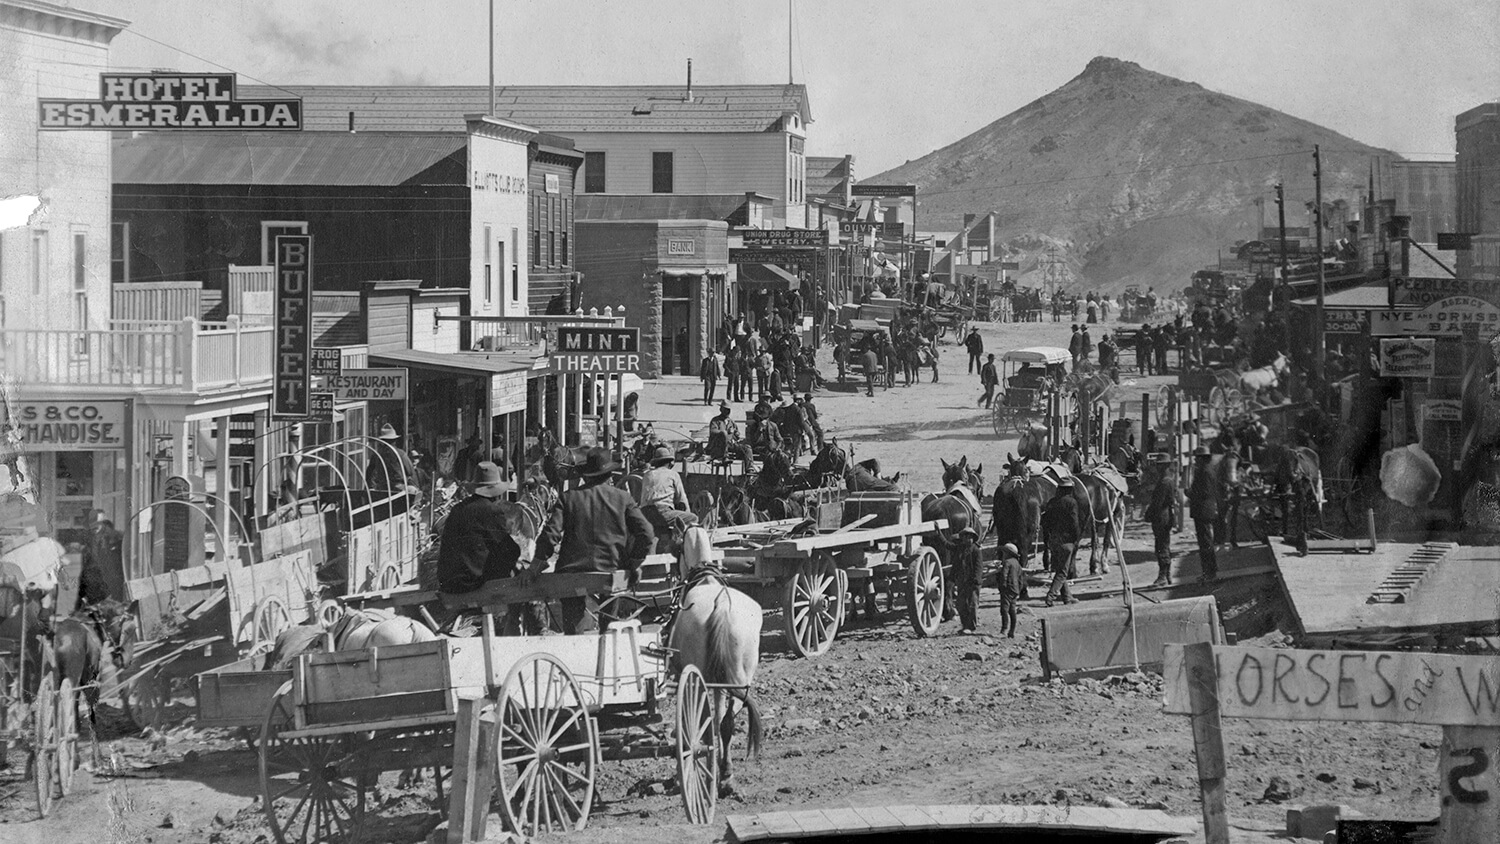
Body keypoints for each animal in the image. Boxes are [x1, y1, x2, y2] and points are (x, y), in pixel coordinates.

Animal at [669, 524, 762, 797]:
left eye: (676, 548)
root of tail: (721, 605)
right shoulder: (721, 683)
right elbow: (720, 715)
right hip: (740, 681)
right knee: (726, 723)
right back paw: (727, 776)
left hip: (699, 679)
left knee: (703, 724)